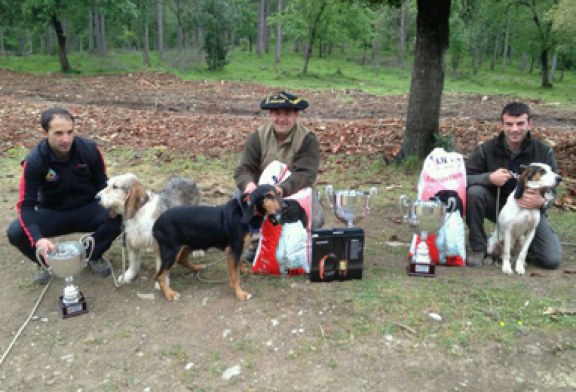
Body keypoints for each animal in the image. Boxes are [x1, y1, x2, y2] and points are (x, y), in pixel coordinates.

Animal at [151, 185, 282, 302]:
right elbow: (235, 276)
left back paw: (197, 267)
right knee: (160, 276)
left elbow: (234, 270)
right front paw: (240, 294)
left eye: (279, 193)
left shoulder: (232, 251)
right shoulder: (234, 250)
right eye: (268, 196)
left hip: (187, 245)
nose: (285, 206)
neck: (244, 213)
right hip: (171, 251)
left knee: (181, 260)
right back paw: (169, 294)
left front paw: (240, 276)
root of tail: (156, 223)